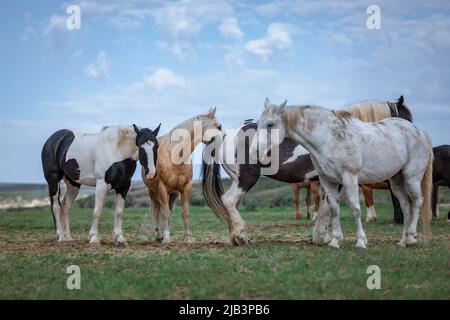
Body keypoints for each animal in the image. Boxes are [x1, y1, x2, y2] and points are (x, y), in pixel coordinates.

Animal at [142, 107, 221, 242]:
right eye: (218, 126)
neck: (175, 155)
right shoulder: (162, 188)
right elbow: (164, 212)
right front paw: (166, 239)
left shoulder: (186, 188)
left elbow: (184, 212)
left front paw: (187, 239)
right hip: (153, 192)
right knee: (156, 209)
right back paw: (158, 236)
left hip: (173, 194)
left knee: (168, 210)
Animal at [202, 96, 414, 244]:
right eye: (406, 117)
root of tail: (224, 134)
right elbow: (328, 208)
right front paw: (323, 237)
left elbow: (326, 207)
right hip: (246, 179)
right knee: (229, 201)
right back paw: (241, 236)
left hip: (238, 181)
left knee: (232, 206)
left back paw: (235, 236)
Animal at [253, 99, 432, 249]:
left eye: (270, 124)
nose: (254, 150)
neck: (329, 138)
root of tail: (419, 132)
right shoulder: (327, 181)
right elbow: (334, 210)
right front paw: (334, 241)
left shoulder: (349, 178)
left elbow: (355, 209)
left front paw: (361, 241)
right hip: (396, 181)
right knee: (406, 206)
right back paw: (403, 241)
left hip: (411, 178)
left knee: (417, 202)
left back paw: (411, 237)